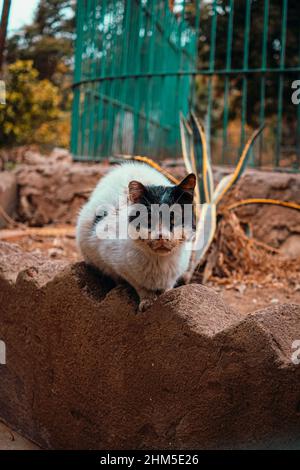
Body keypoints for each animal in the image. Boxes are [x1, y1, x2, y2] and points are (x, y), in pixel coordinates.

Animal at [76, 162, 196, 312]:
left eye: (174, 219)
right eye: (148, 220)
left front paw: (165, 297)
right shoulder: (114, 260)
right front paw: (147, 302)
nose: (161, 236)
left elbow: (168, 287)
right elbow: (140, 286)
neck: (159, 262)